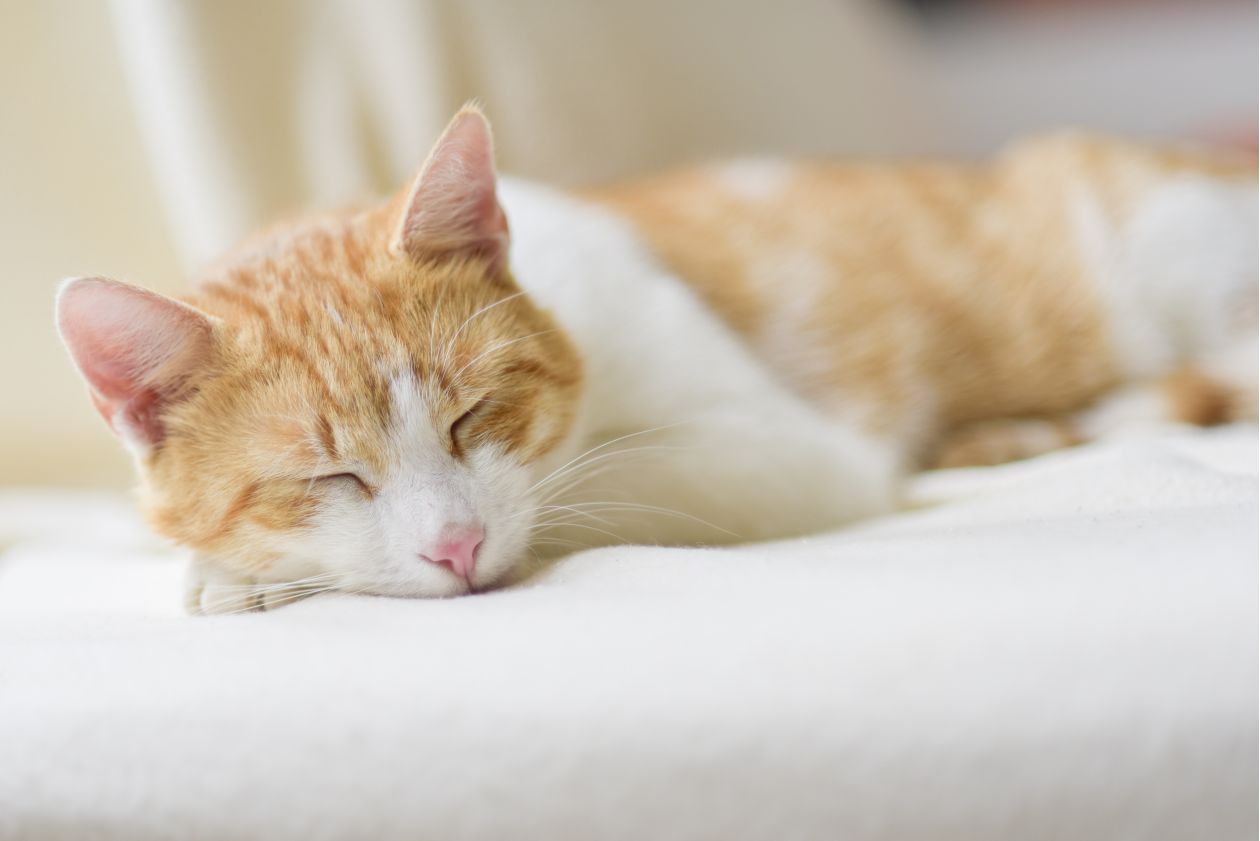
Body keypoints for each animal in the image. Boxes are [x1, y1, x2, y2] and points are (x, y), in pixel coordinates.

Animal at [51, 108, 1260, 615]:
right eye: (330, 476)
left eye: (473, 417)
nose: (456, 547)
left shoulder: (791, 451)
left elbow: (601, 489)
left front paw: (229, 575)